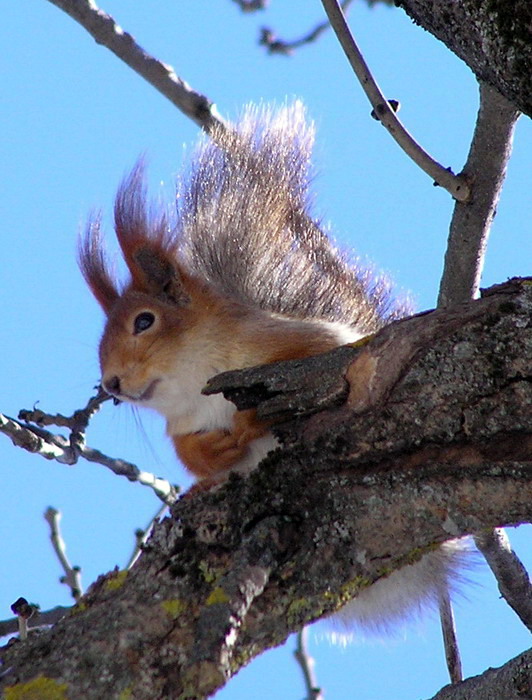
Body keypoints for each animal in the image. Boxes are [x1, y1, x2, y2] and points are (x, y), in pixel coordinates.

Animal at [80, 102, 470, 636]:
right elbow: (186, 451)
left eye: (144, 321)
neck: (193, 385)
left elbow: (311, 373)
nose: (111, 383)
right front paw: (214, 454)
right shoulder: (181, 423)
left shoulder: (303, 343)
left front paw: (247, 421)